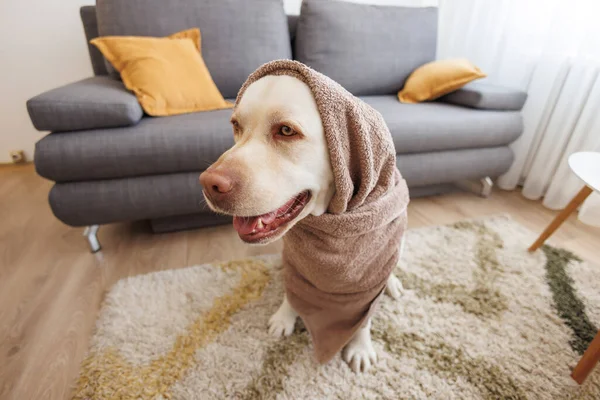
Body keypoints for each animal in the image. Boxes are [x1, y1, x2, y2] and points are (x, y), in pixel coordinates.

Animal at [200, 74, 404, 372]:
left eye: (286, 131)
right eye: (236, 126)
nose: (208, 184)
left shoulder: (366, 278)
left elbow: (364, 315)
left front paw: (360, 346)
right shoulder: (297, 262)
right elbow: (293, 290)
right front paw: (285, 317)